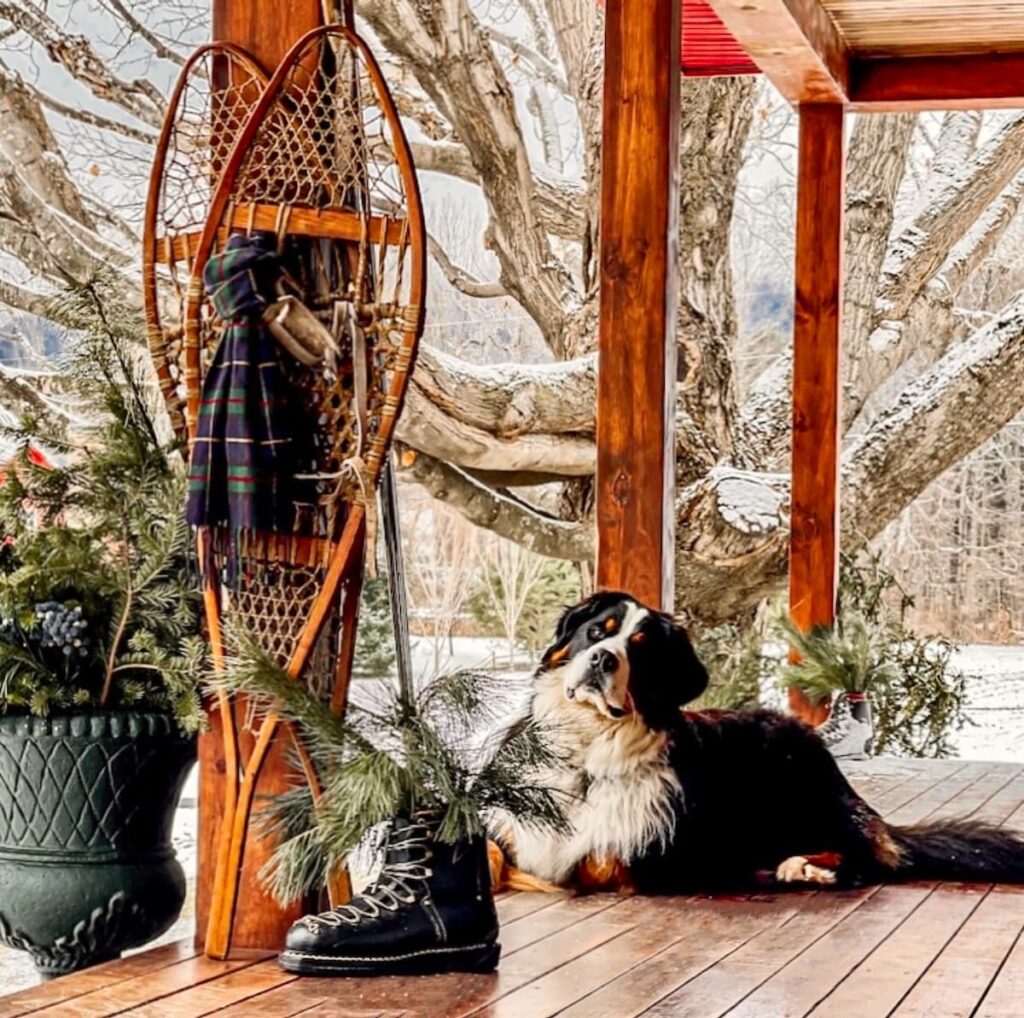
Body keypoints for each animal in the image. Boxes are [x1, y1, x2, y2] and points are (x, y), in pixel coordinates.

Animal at [485, 589, 1024, 893]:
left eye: (640, 651)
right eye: (599, 632)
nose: (602, 659)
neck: (585, 755)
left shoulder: (654, 854)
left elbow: (595, 863)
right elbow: (492, 855)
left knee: (868, 858)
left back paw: (803, 868)